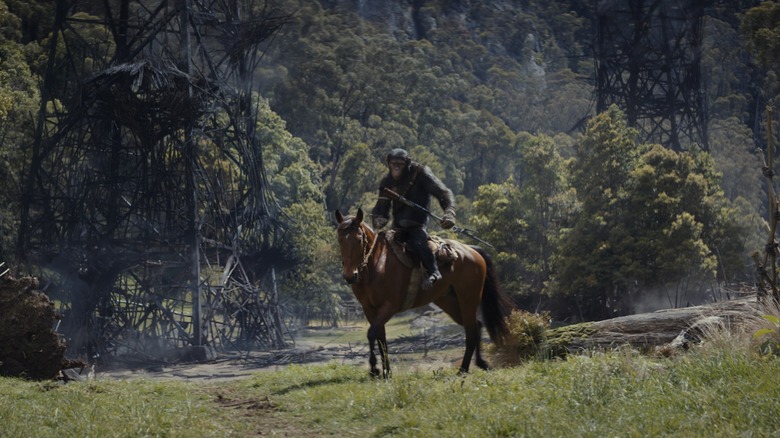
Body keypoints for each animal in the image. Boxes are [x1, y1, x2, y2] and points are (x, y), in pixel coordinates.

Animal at [334, 208, 512, 376]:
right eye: (340, 239)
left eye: (359, 239)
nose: (350, 276)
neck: (377, 264)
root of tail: (471, 250)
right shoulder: (369, 309)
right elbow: (380, 338)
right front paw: (385, 373)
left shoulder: (390, 306)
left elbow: (372, 334)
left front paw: (374, 369)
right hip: (450, 302)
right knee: (476, 325)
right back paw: (480, 363)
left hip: (468, 298)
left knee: (471, 331)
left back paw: (463, 370)